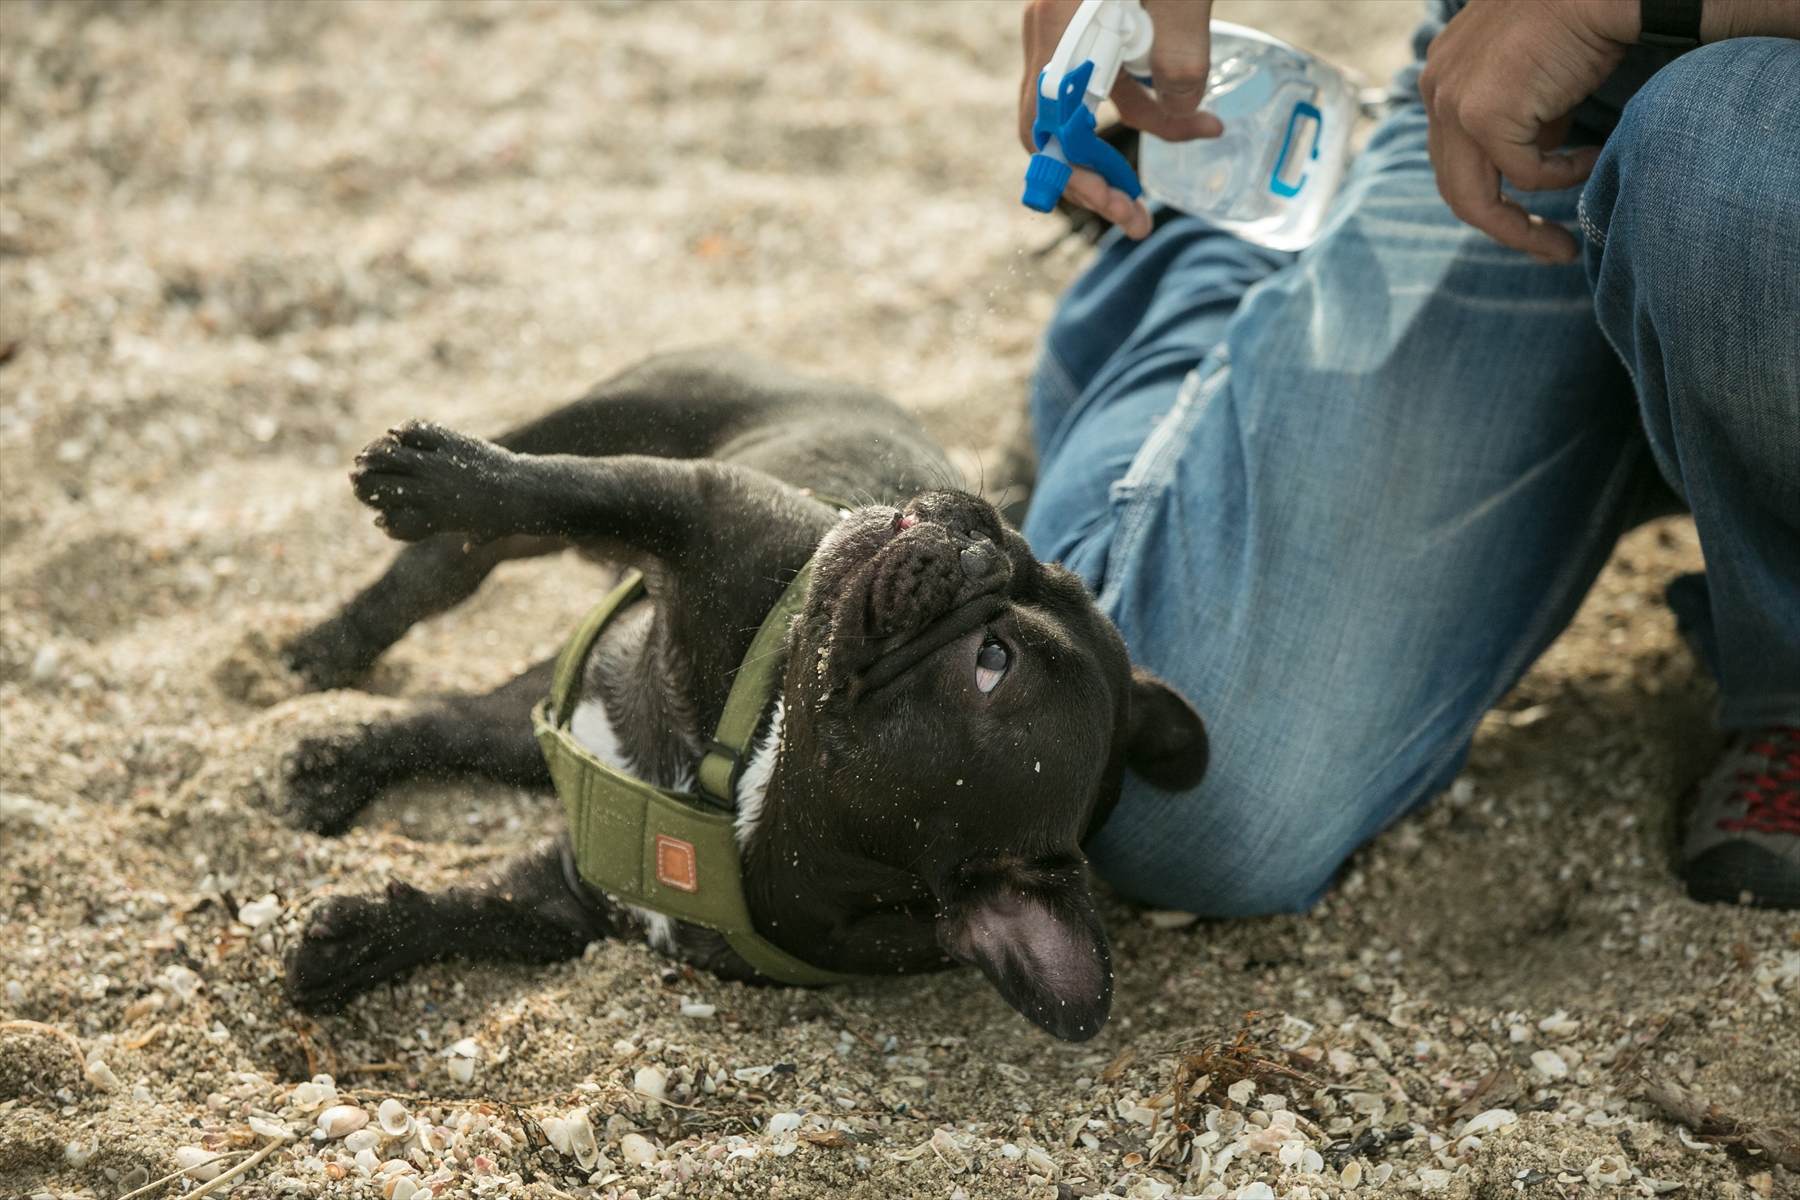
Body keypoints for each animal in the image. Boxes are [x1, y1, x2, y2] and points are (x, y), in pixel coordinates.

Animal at [277, 347, 1209, 1043]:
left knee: (465, 708)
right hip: (627, 417)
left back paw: (330, 758)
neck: (751, 775)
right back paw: (334, 646)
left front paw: (364, 940)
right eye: (1045, 566)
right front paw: (445, 475)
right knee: (459, 560)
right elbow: (574, 487)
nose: (984, 539)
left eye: (992, 663)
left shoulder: (582, 891)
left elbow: (482, 910)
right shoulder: (707, 510)